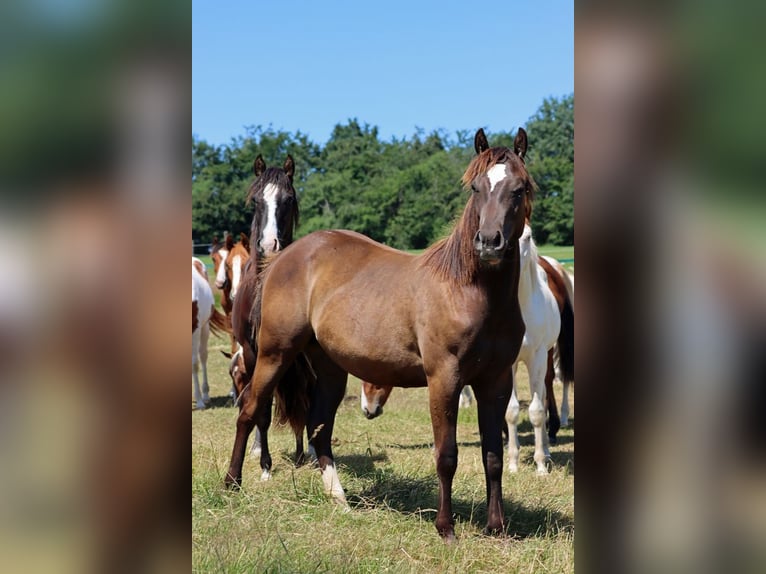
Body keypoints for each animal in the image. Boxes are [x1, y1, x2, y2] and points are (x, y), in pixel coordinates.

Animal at [226, 128, 534, 541]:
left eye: (518, 189)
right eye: (476, 187)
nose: (488, 242)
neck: (469, 290)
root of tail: (280, 259)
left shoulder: (496, 382)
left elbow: (493, 456)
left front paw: (496, 528)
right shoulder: (444, 379)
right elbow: (447, 455)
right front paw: (446, 528)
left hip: (329, 367)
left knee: (318, 427)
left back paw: (339, 499)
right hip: (274, 354)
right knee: (249, 408)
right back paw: (232, 483)